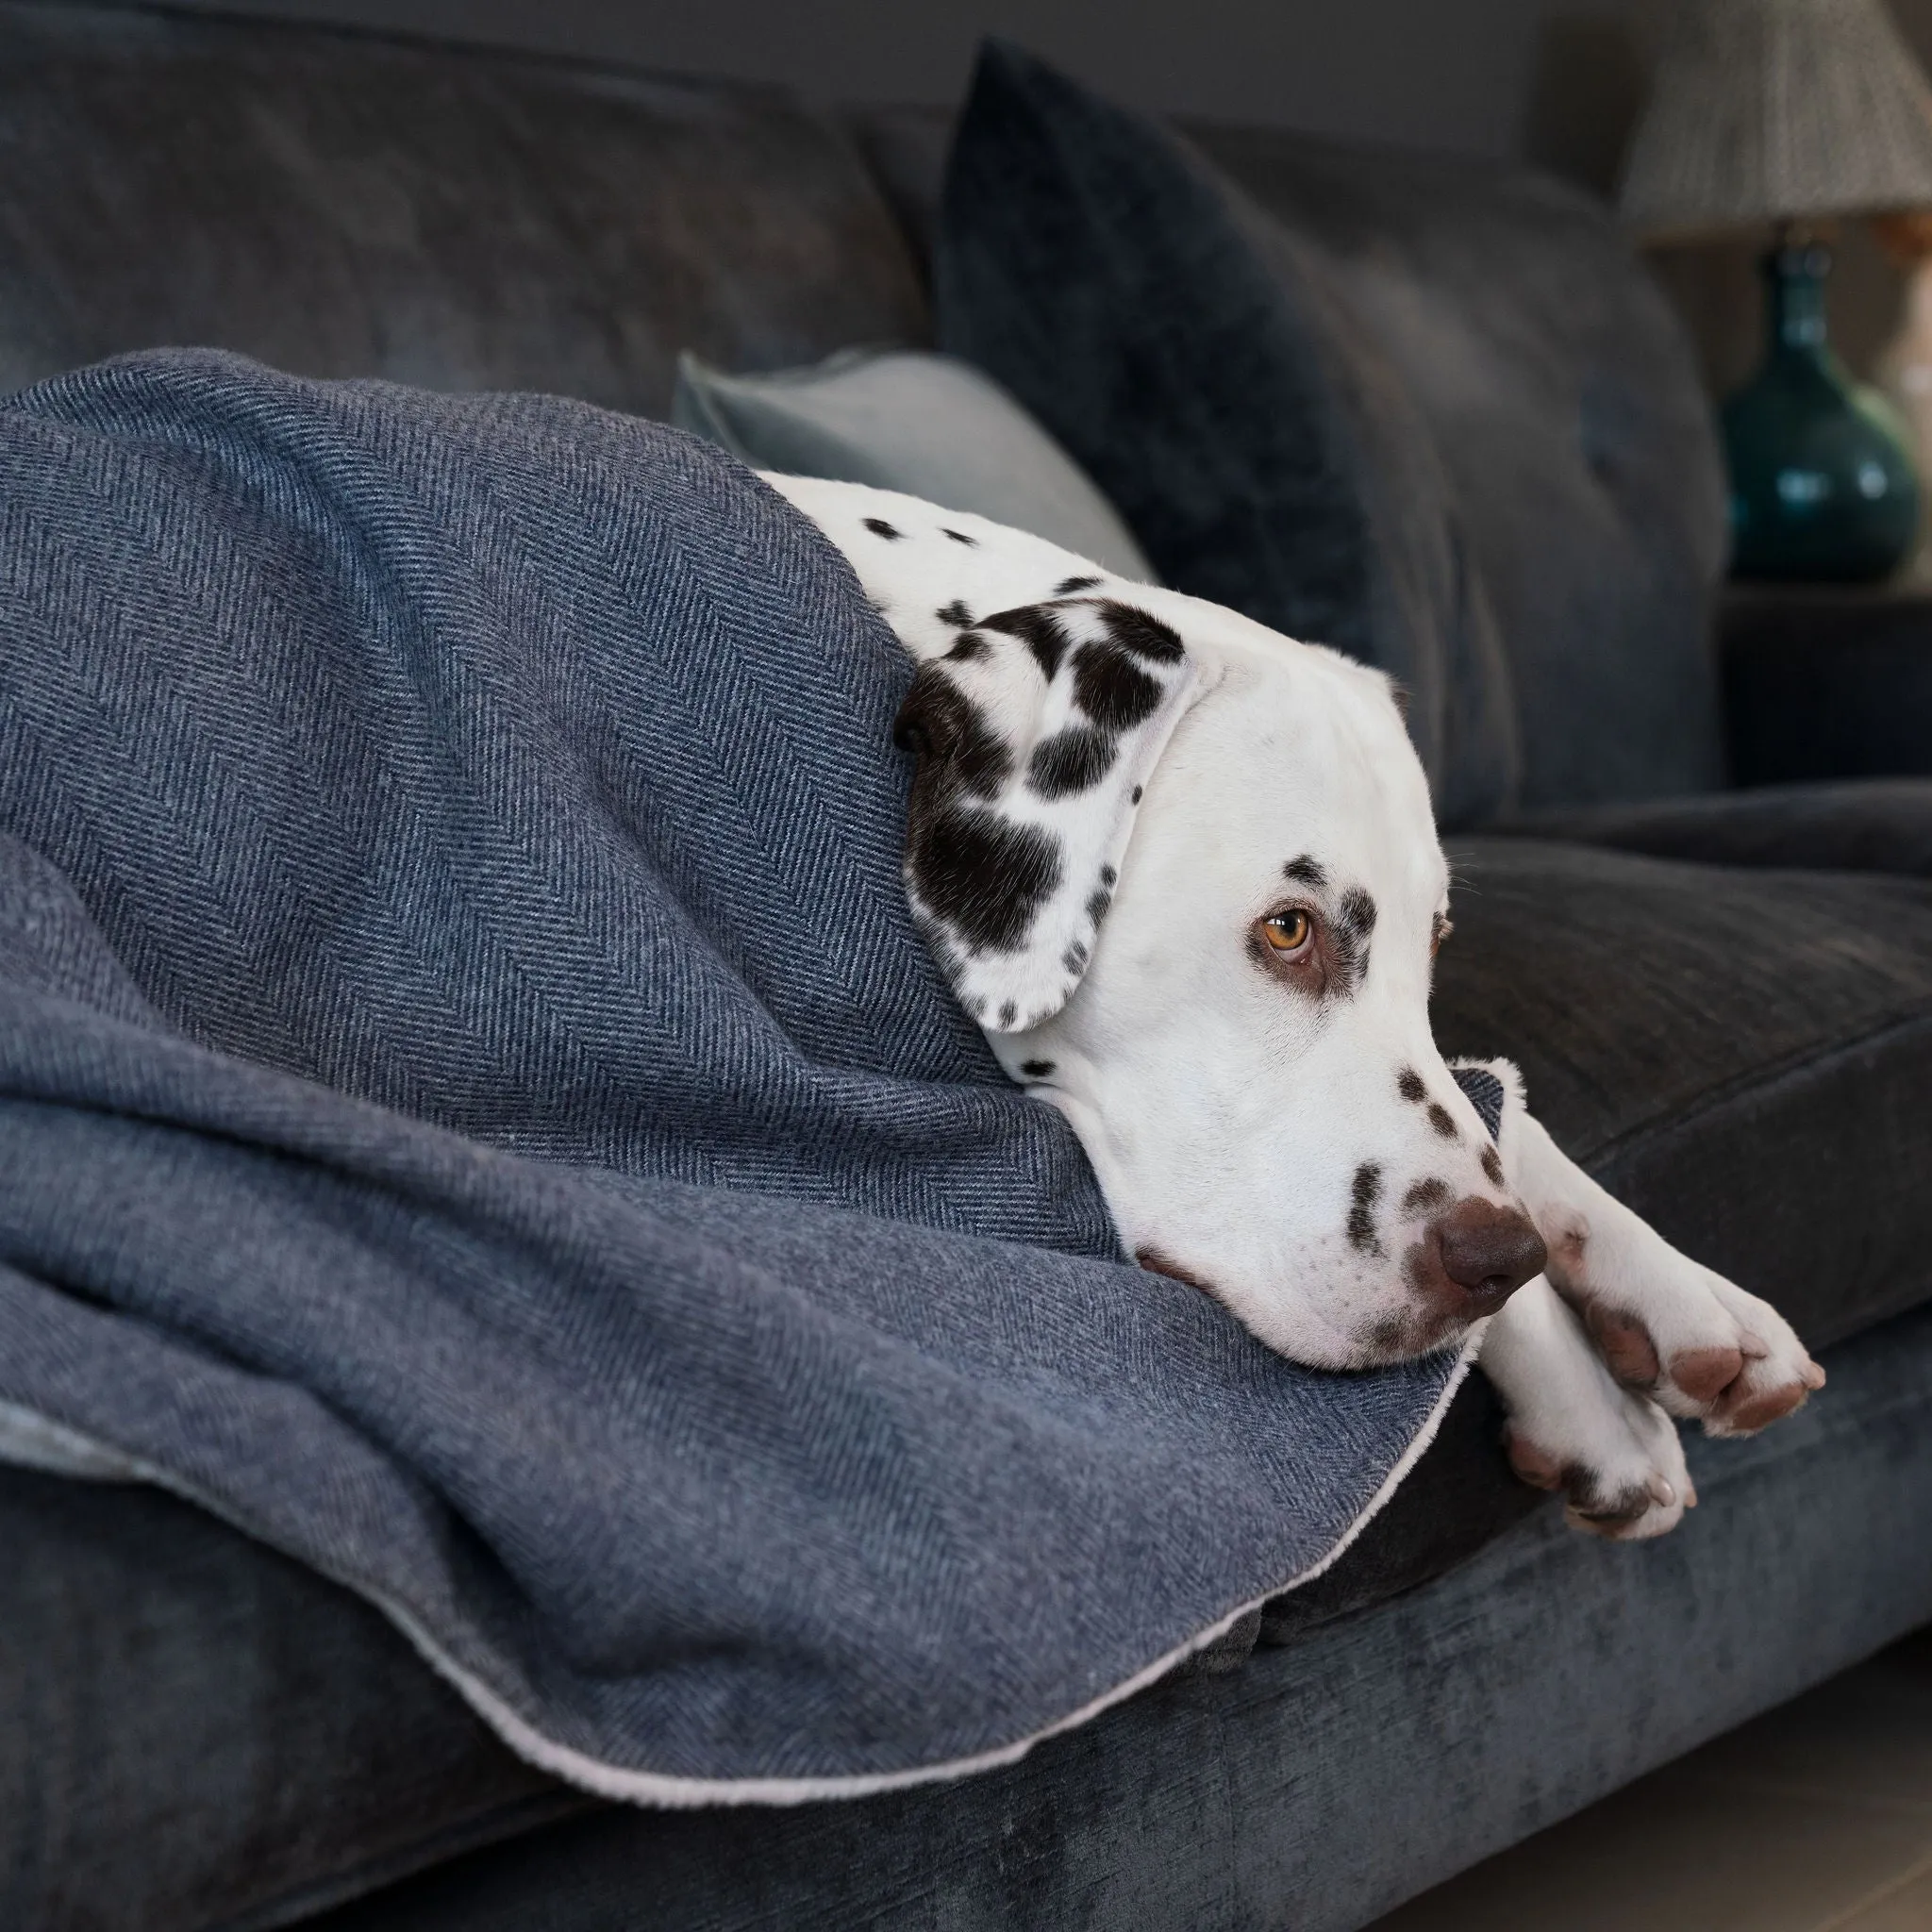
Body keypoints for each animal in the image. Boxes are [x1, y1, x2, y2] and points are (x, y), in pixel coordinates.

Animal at [765, 471, 1824, 1538]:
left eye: (1435, 938)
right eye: (1287, 929)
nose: (1502, 1260)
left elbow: (1494, 1103)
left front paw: (1679, 1294)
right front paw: (1591, 1397)